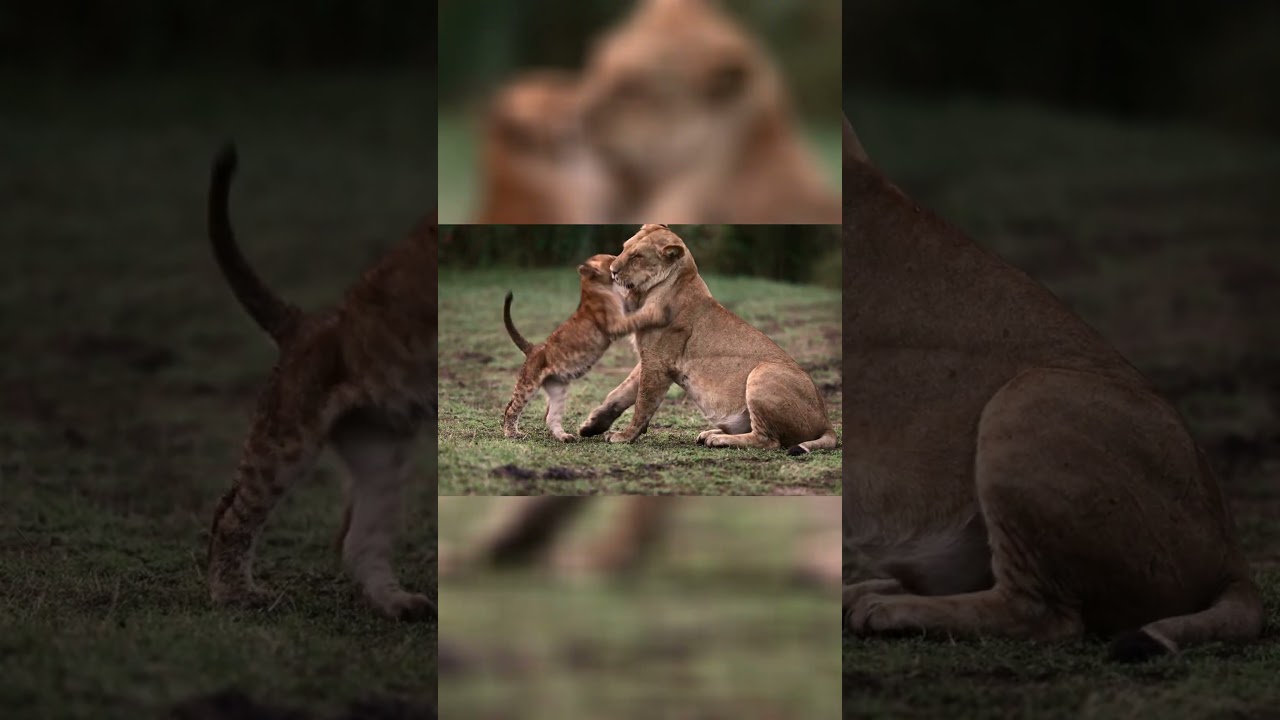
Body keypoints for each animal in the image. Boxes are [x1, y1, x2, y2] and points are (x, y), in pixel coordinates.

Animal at [501, 254, 672, 441]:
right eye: (611, 258)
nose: (617, 265)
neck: (594, 287)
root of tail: (533, 348)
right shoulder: (615, 324)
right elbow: (637, 318)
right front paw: (659, 313)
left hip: (557, 388)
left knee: (550, 417)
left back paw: (565, 437)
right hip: (528, 384)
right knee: (511, 408)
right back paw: (512, 433)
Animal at [578, 224, 838, 454]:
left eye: (637, 257)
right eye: (624, 248)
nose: (612, 270)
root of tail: (827, 422)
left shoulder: (657, 363)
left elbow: (643, 403)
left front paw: (624, 436)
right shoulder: (648, 358)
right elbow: (620, 393)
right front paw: (592, 426)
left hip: (764, 372)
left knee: (769, 440)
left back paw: (718, 439)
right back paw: (710, 433)